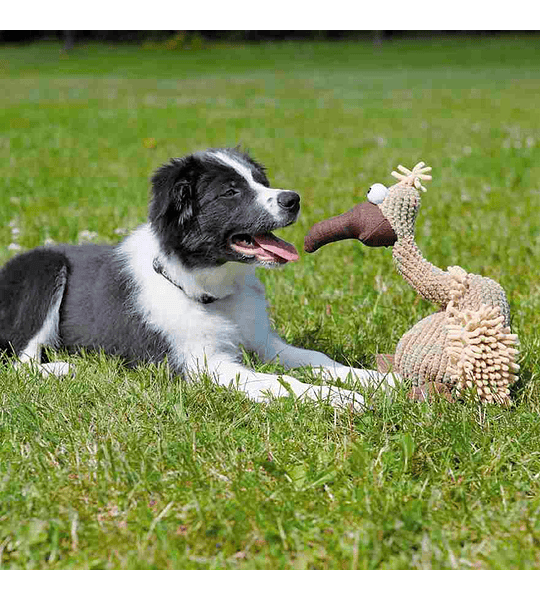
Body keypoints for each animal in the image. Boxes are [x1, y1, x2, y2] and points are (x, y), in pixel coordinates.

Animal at [1, 148, 396, 410]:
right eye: (231, 191)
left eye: (260, 181)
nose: (293, 199)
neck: (207, 288)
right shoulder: (201, 363)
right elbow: (278, 381)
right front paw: (340, 398)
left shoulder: (264, 343)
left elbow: (318, 359)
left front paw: (380, 378)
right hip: (44, 266)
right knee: (20, 362)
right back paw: (65, 368)